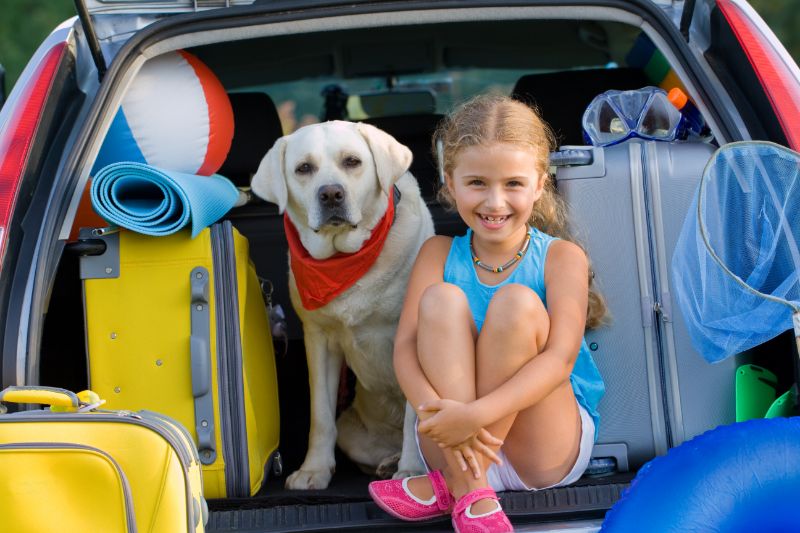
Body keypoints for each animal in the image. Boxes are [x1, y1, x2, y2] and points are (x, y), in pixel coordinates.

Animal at [253, 119, 434, 486]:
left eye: (352, 161)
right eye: (303, 168)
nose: (331, 194)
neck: (347, 260)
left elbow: (413, 415)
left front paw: (411, 470)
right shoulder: (318, 339)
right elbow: (321, 416)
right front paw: (314, 470)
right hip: (353, 431)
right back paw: (388, 462)